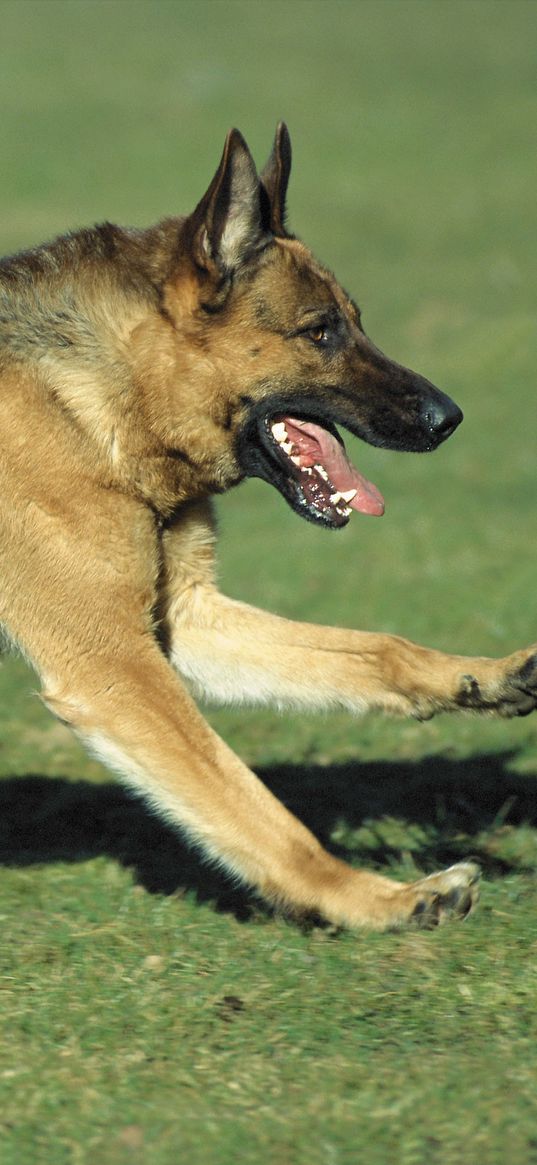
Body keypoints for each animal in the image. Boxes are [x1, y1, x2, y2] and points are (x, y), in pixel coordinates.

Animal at [2, 122, 533, 932]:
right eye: (320, 332)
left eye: (357, 322)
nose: (449, 419)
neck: (99, 401)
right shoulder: (112, 665)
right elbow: (264, 817)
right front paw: (378, 899)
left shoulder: (181, 621)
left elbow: (377, 649)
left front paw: (482, 676)